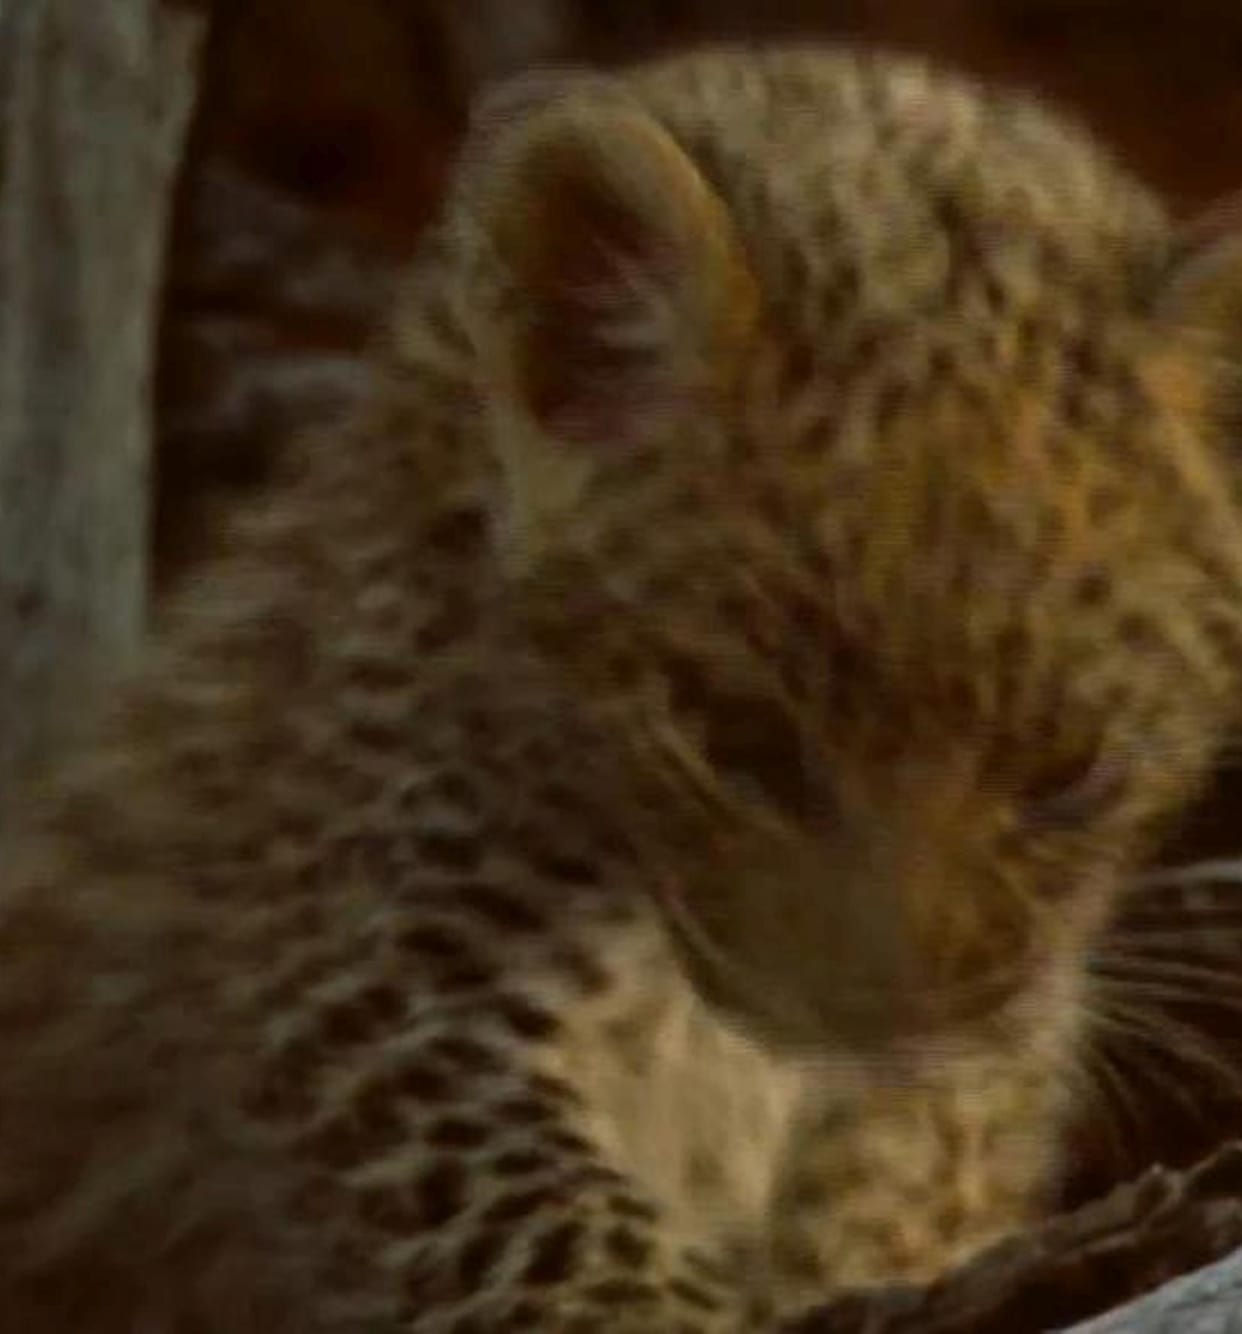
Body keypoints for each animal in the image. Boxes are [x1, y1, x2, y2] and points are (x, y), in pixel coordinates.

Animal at [4, 40, 1242, 1334]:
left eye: (1073, 777)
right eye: (738, 745)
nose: (884, 1017)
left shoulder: (969, 1060)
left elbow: (904, 1162)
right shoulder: (377, 975)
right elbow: (546, 1225)